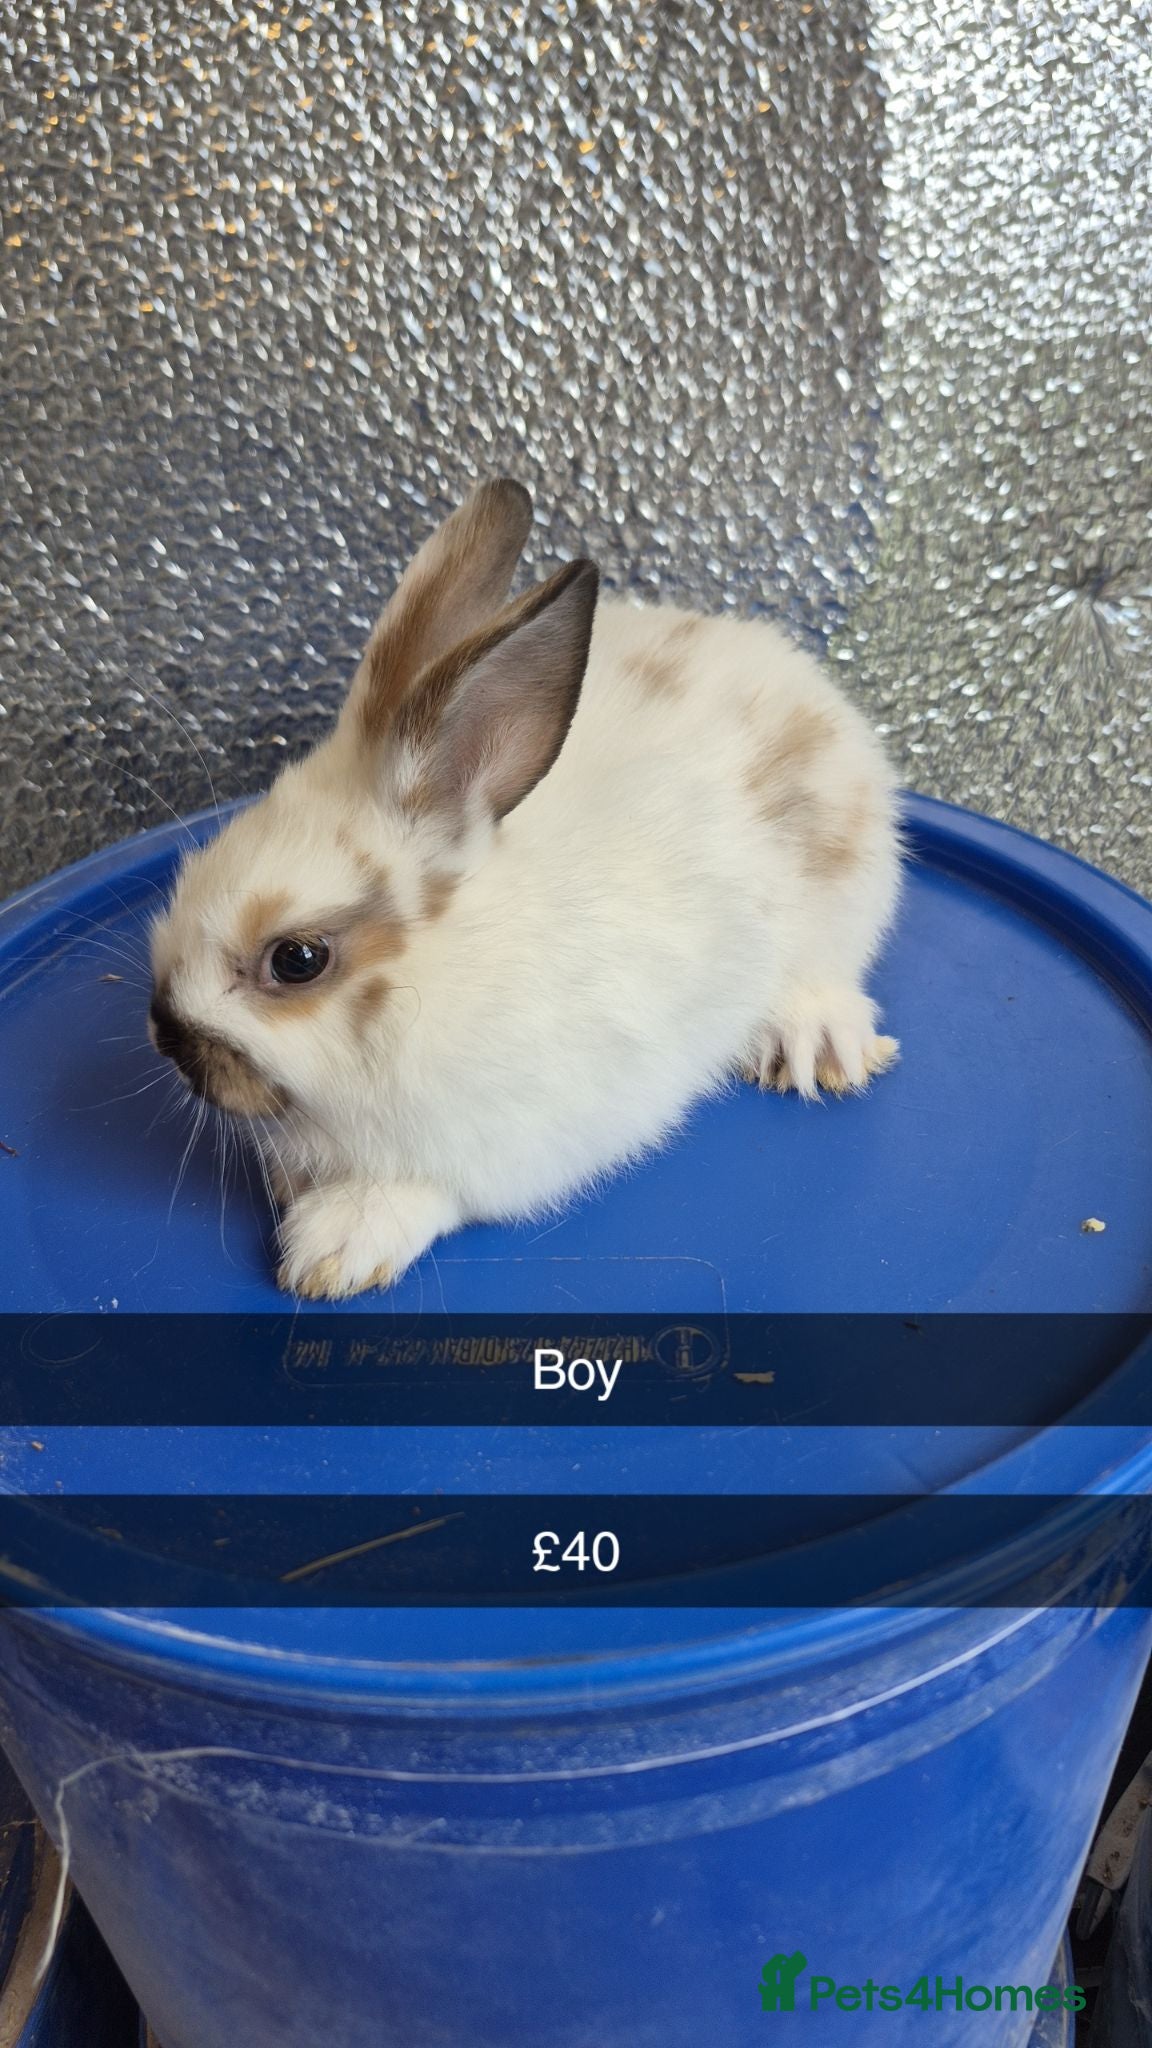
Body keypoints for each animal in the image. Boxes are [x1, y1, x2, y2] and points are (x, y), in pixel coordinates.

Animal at [148, 478, 902, 1299]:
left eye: (296, 960)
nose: (166, 1033)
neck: (437, 980)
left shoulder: (514, 1143)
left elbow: (427, 1191)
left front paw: (334, 1244)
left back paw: (816, 1046)